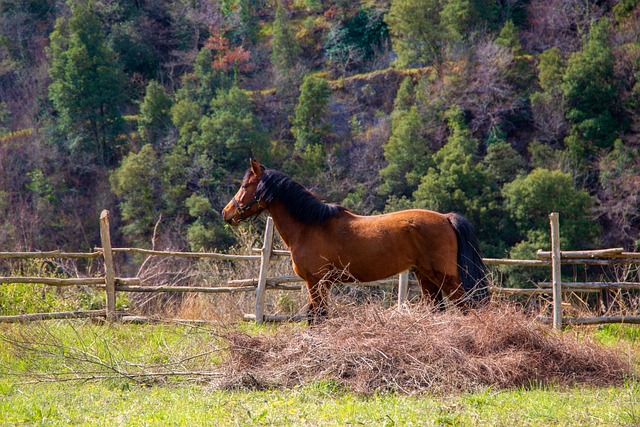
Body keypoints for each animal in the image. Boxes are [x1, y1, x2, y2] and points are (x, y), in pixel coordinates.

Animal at [222, 160, 488, 320]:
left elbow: (318, 317)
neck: (310, 225)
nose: (227, 213)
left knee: (467, 306)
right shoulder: (318, 284)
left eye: (246, 185)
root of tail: (446, 218)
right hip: (426, 278)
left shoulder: (316, 282)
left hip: (447, 279)